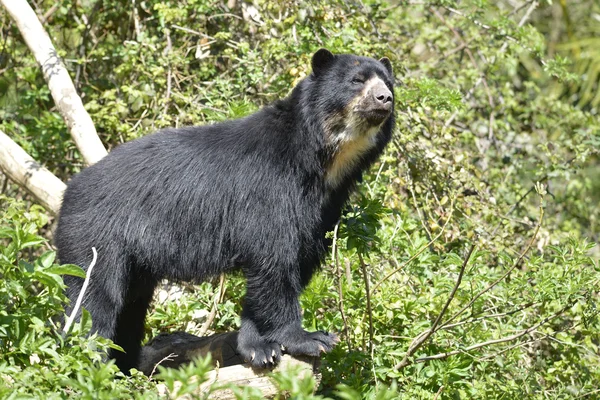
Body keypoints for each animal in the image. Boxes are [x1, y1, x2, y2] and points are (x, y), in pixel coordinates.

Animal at [54, 49, 396, 372]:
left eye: (388, 82)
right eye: (357, 81)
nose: (385, 98)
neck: (324, 159)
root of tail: (69, 192)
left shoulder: (323, 207)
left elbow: (297, 260)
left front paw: (257, 346)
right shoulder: (269, 190)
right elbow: (275, 260)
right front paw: (308, 339)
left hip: (134, 262)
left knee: (130, 307)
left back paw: (124, 366)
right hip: (97, 237)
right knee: (95, 298)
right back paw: (89, 359)